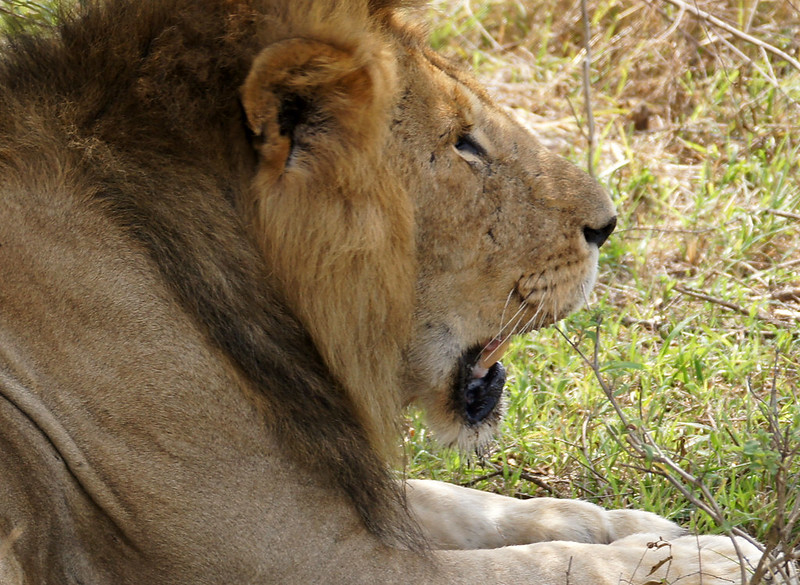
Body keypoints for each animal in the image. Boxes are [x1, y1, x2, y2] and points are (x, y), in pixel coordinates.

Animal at [1, 1, 764, 584]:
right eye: (464, 143)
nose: (607, 224)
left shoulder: (334, 482)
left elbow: (458, 502)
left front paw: (640, 524)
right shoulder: (298, 560)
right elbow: (545, 565)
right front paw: (712, 561)